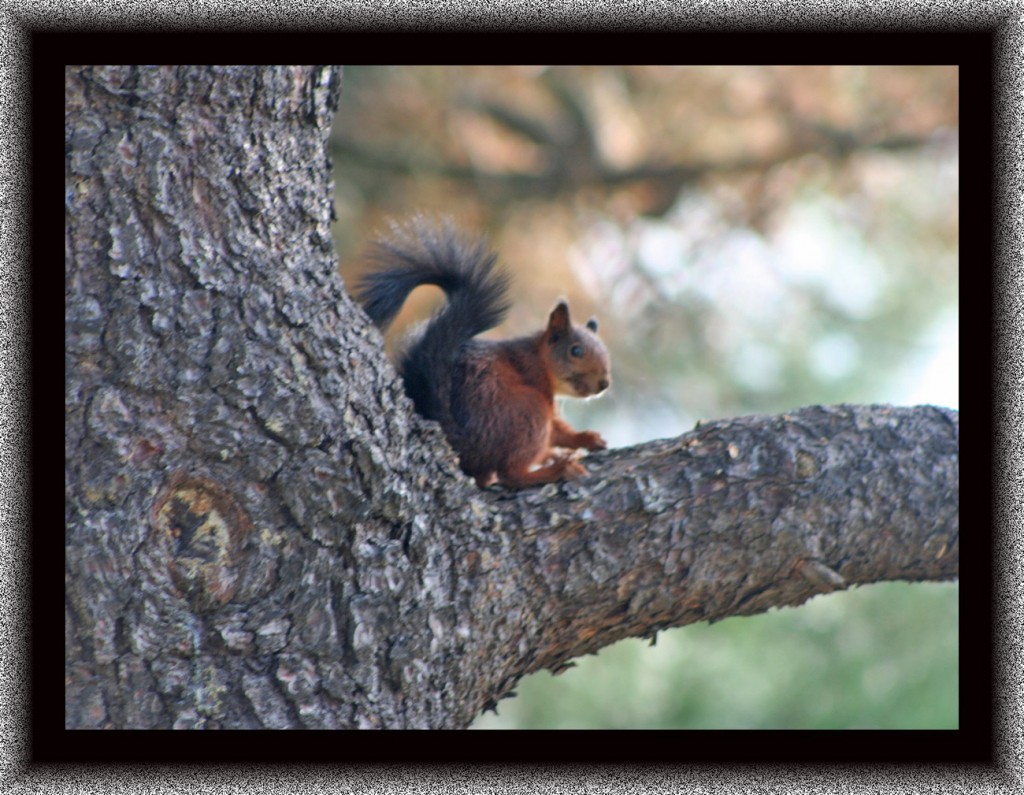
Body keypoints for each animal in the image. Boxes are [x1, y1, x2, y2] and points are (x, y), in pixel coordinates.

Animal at [354, 219, 606, 489]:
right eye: (576, 350)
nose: (604, 383)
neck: (539, 357)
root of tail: (466, 444)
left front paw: (588, 439)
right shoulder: (535, 379)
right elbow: (557, 431)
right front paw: (578, 441)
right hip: (529, 411)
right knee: (510, 472)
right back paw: (556, 470)